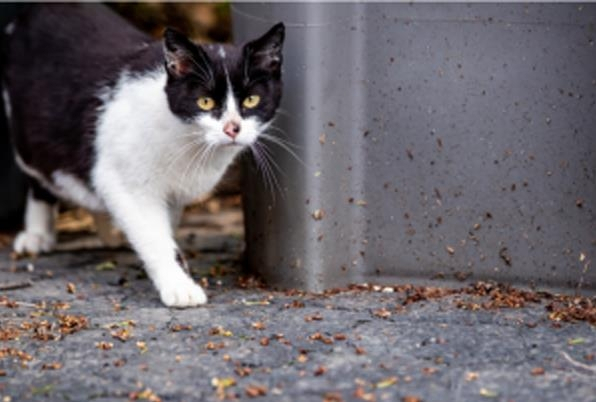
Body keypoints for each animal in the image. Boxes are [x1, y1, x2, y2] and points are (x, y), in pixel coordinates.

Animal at [0, 3, 284, 306]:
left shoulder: (171, 194)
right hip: (26, 131)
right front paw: (178, 286)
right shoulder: (129, 182)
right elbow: (153, 235)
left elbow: (164, 227)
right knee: (40, 176)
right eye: (205, 102)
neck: (189, 142)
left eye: (251, 100)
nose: (233, 128)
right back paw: (37, 234)